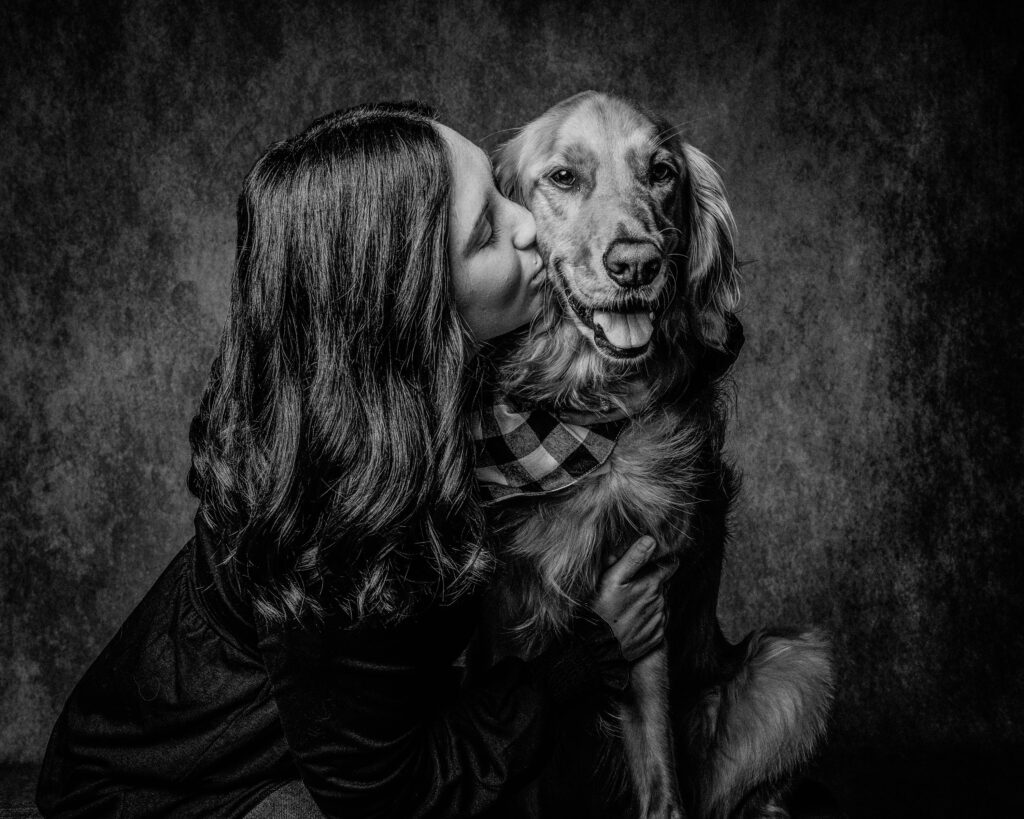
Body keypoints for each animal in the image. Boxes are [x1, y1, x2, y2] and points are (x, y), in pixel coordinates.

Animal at [475, 91, 835, 818]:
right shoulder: (508, 627)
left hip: (795, 664)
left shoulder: (645, 606)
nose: (636, 263)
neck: (587, 415)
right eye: (563, 177)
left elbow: (661, 774)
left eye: (661, 172)